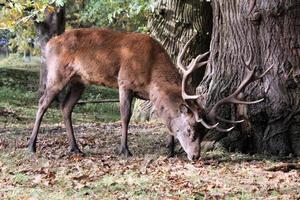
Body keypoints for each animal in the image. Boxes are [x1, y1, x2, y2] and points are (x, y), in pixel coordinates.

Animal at [27, 28, 272, 160]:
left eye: (203, 133)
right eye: (190, 130)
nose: (195, 156)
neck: (151, 72)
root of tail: (49, 43)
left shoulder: (148, 94)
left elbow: (167, 119)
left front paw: (170, 150)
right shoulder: (125, 82)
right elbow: (125, 116)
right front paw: (125, 150)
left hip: (80, 81)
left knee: (65, 107)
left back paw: (75, 147)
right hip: (58, 73)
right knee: (42, 103)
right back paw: (31, 146)